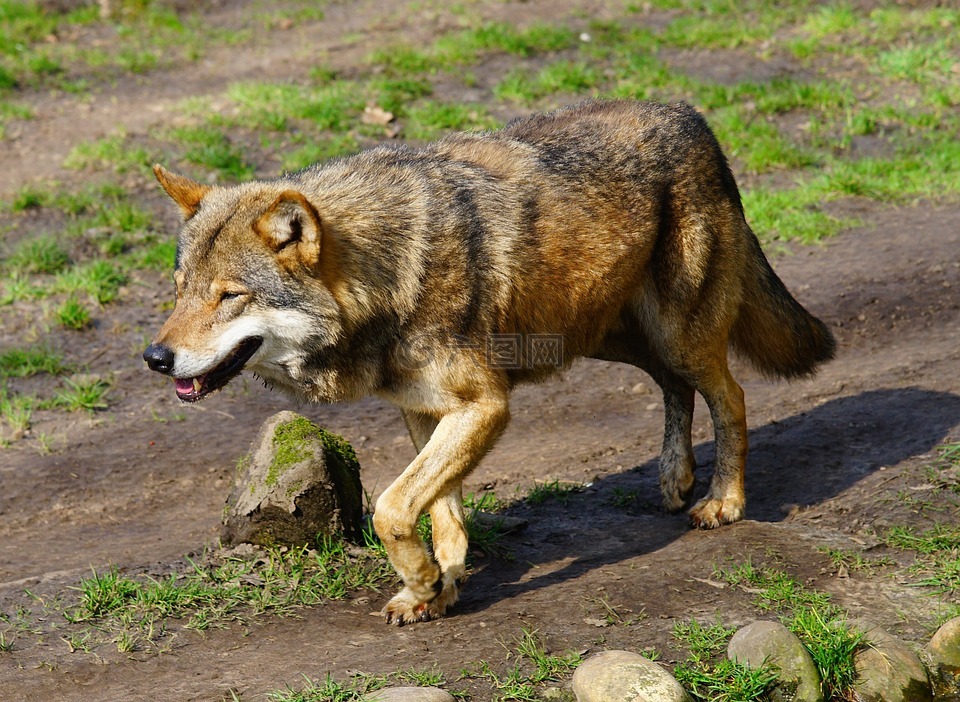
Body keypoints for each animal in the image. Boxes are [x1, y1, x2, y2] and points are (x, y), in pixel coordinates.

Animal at [142, 99, 832, 628]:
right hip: (604, 336)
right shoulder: (426, 412)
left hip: (676, 335)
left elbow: (392, 508)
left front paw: (424, 581)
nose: (155, 357)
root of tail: (692, 117)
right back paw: (674, 477)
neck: (388, 272)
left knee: (731, 397)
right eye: (178, 291)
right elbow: (438, 511)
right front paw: (438, 586)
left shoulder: (485, 406)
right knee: (674, 387)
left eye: (229, 296)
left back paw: (722, 501)